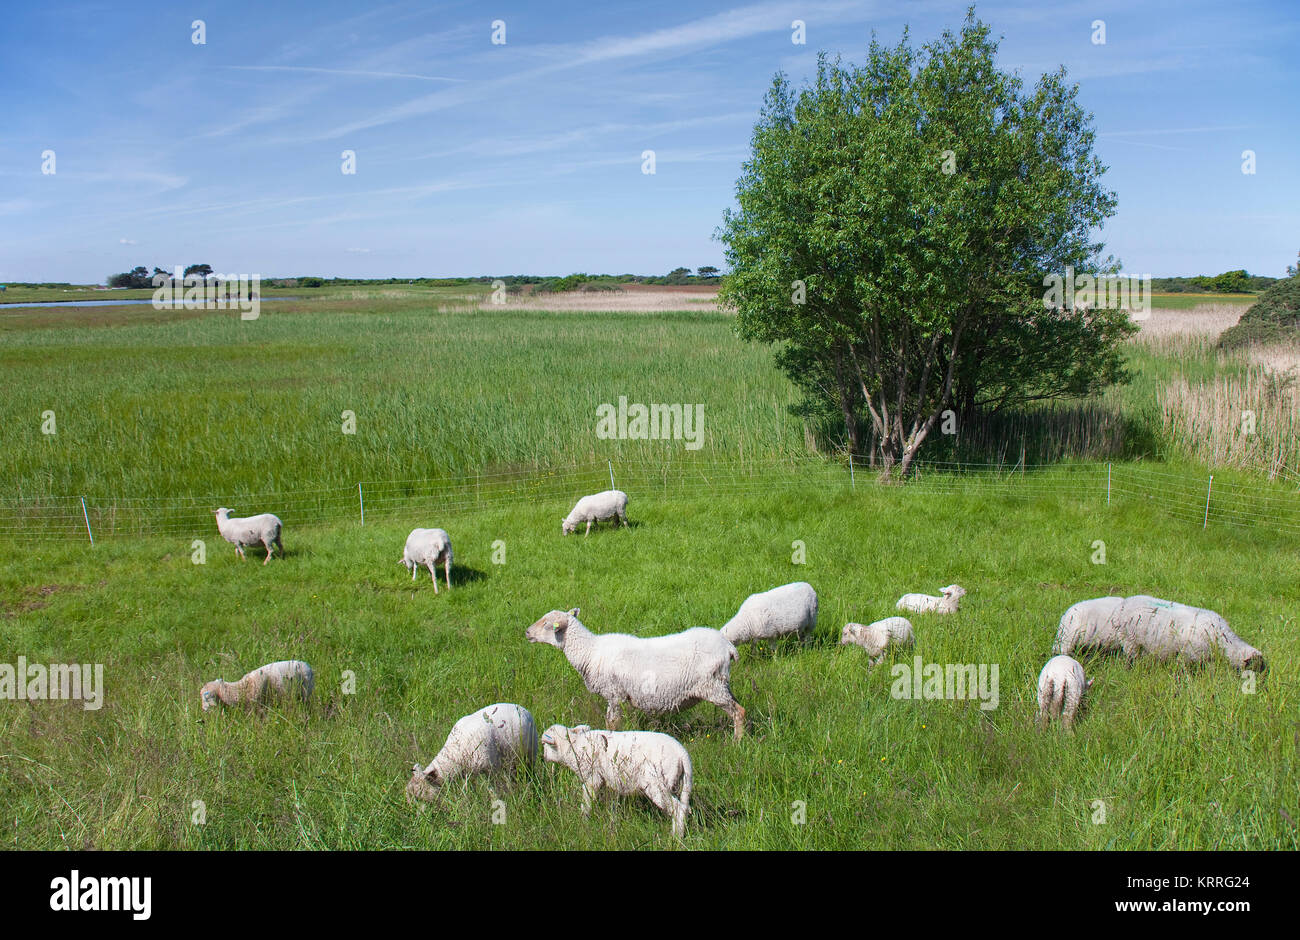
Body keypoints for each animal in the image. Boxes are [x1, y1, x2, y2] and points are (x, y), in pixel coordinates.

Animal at [405, 702, 538, 806]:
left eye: (421, 797)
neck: (455, 753)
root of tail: (520, 707)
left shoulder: (490, 770)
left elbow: (493, 791)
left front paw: (496, 802)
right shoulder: (468, 773)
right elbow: (470, 788)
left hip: (529, 753)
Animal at [522, 611, 748, 743]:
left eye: (547, 624)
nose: (526, 633)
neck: (590, 651)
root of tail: (728, 647)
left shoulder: (614, 694)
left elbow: (612, 724)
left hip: (712, 686)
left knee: (739, 711)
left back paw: (737, 742)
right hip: (722, 684)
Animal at [538, 728, 696, 837]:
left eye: (544, 744)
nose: (543, 757)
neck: (573, 747)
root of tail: (682, 753)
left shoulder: (592, 778)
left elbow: (586, 803)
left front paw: (583, 822)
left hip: (657, 785)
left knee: (679, 809)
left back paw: (675, 838)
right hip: (675, 783)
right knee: (684, 808)